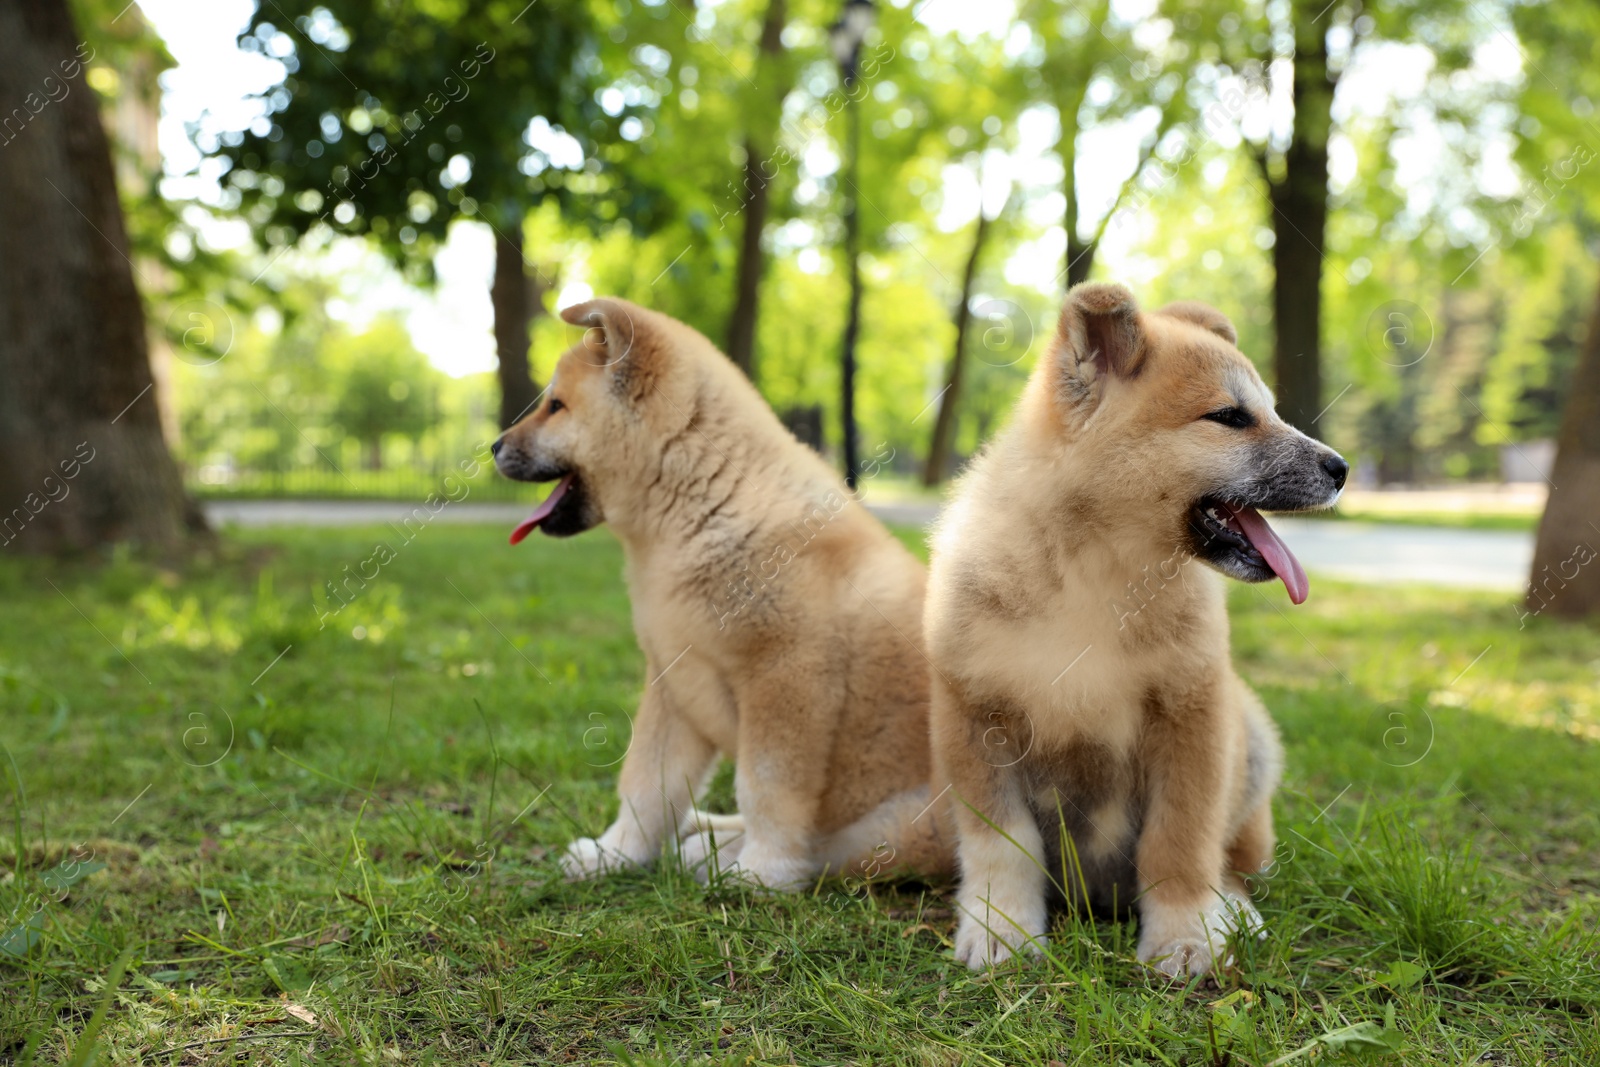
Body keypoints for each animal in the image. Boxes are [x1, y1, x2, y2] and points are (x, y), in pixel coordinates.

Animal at [928, 281, 1350, 979]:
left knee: (1232, 864)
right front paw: (1001, 928)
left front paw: (1184, 936)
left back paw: (1234, 911)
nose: (1342, 467)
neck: (1096, 572)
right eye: (1230, 417)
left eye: (1270, 410)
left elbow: (1180, 844)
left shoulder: (1191, 714)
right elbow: (1002, 847)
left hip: (1252, 743)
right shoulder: (975, 721)